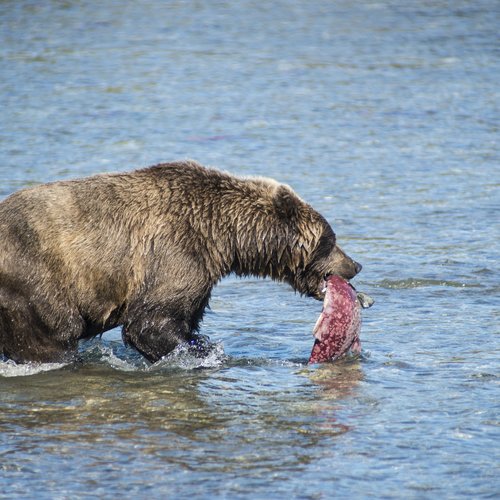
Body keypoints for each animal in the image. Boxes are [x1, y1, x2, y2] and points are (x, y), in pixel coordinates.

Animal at [0, 161, 364, 364]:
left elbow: (184, 318)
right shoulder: (174, 254)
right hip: (36, 278)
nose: (355, 265)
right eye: (329, 240)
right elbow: (150, 323)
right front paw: (204, 352)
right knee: (54, 334)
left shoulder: (200, 274)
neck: (223, 237)